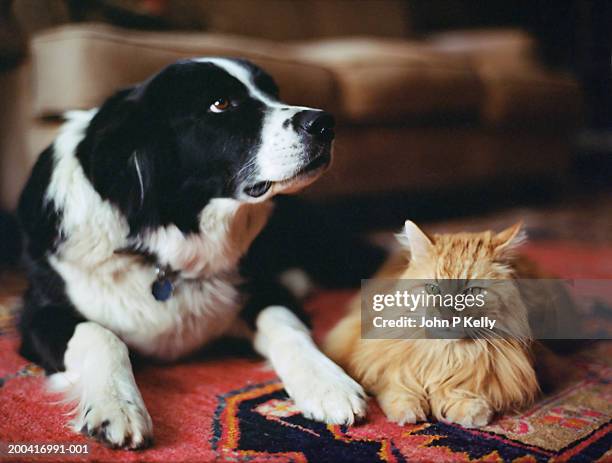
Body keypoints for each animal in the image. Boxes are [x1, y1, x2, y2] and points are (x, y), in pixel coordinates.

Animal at [16, 57, 366, 450]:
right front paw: (116, 406)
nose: (325, 123)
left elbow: (286, 324)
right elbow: (99, 335)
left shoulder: (263, 287)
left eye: (273, 93)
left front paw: (327, 382)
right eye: (220, 104)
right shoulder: (37, 315)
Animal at [322, 221, 544, 428]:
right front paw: (407, 409)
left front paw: (468, 409)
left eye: (472, 292)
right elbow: (396, 383)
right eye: (432, 289)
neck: (445, 354)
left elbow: (464, 386)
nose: (447, 316)